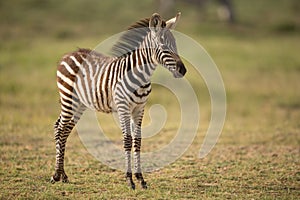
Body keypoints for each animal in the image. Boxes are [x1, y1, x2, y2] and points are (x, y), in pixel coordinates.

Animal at [50, 12, 186, 189]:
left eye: (175, 46)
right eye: (164, 47)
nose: (183, 70)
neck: (141, 77)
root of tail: (69, 54)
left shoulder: (139, 108)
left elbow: (138, 141)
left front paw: (141, 179)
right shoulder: (123, 108)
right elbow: (127, 140)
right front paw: (130, 179)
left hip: (79, 104)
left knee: (63, 129)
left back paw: (63, 175)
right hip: (68, 99)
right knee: (60, 129)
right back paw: (56, 175)